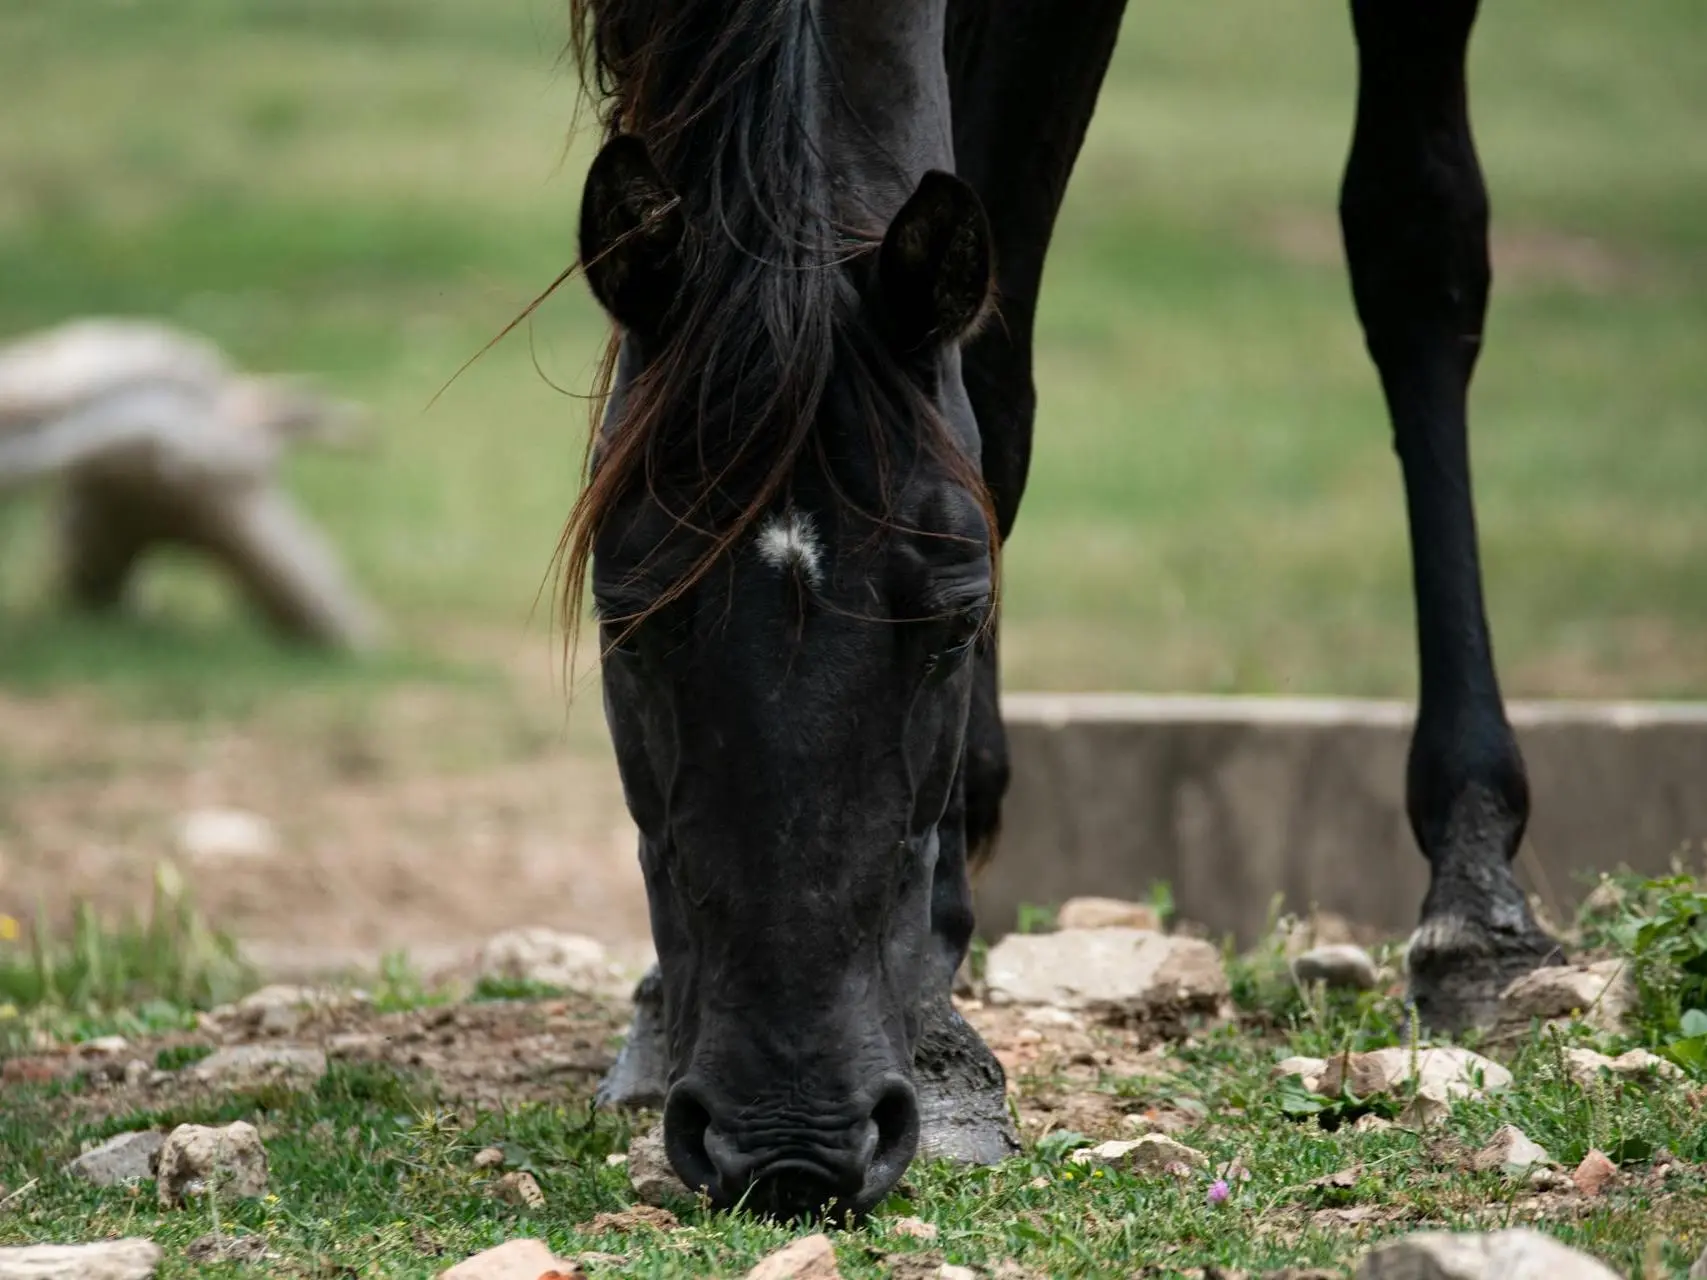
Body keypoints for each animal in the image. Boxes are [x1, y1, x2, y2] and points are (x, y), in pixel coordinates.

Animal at [559, 0, 1563, 1221]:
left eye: (957, 620)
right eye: (626, 622)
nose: (791, 1144)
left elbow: (992, 380)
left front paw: (942, 1044)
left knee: (1417, 238)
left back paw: (1472, 900)